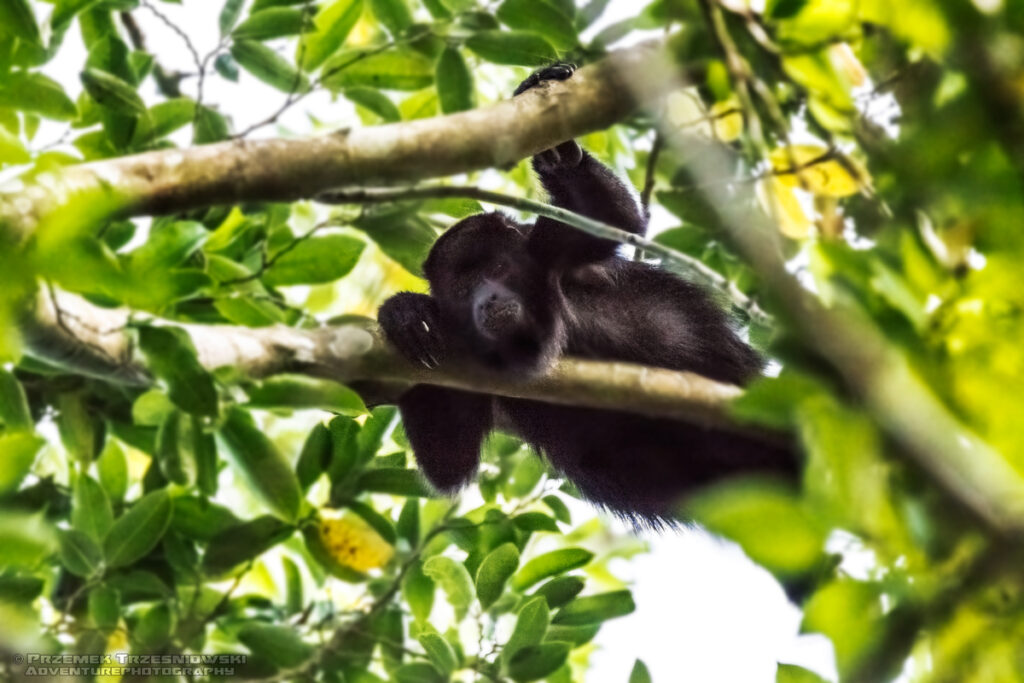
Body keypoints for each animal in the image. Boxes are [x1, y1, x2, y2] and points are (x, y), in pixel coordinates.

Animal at [380, 63, 794, 524]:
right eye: (462, 287)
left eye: (496, 269)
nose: (487, 299)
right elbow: (449, 461)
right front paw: (406, 313)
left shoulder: (551, 247)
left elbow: (615, 218)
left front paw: (557, 147)